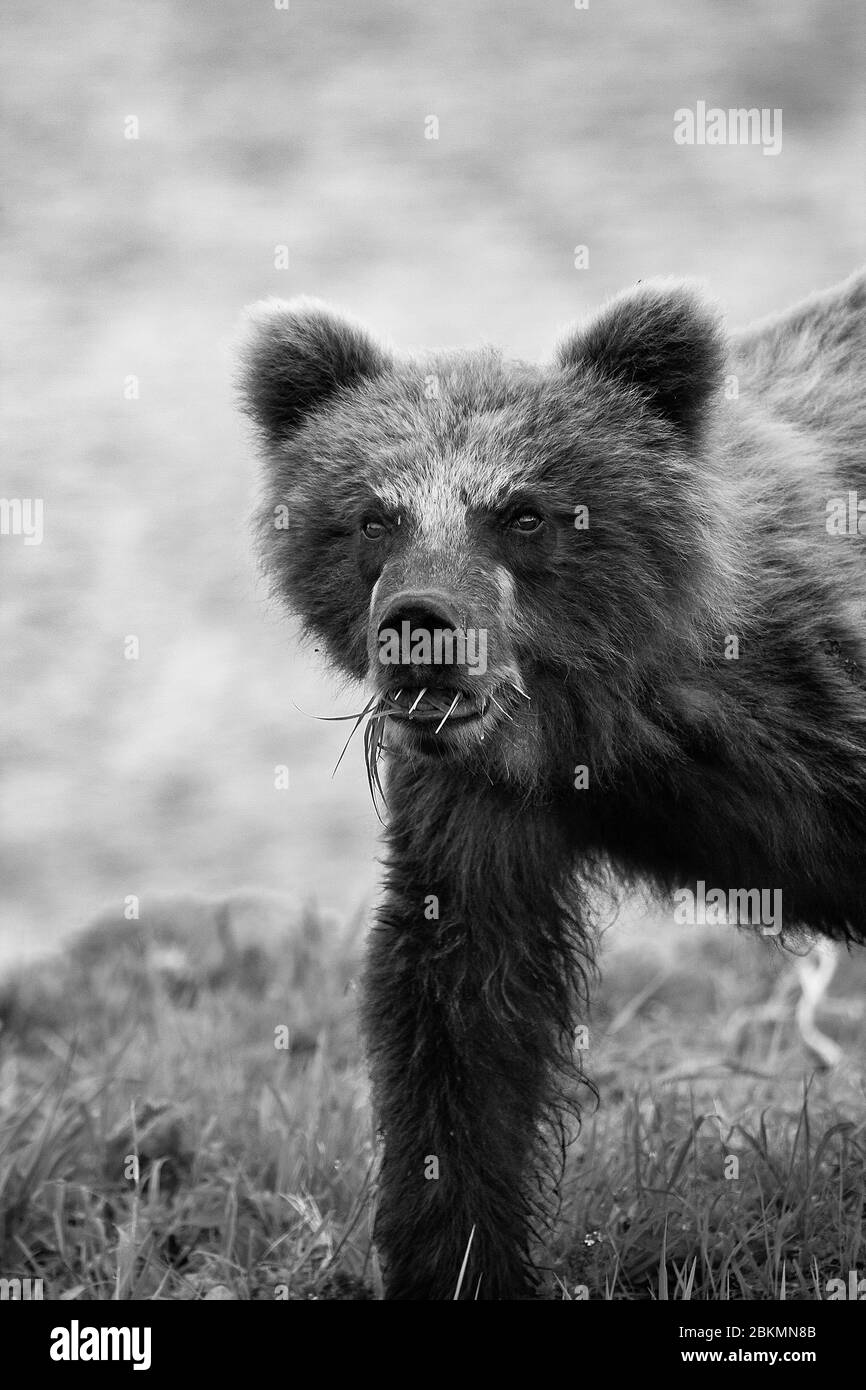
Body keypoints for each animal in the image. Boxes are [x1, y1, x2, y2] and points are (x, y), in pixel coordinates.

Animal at [239, 273, 866, 1301]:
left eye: (522, 511)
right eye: (375, 515)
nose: (422, 626)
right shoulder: (478, 799)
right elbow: (462, 1010)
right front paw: (458, 1259)